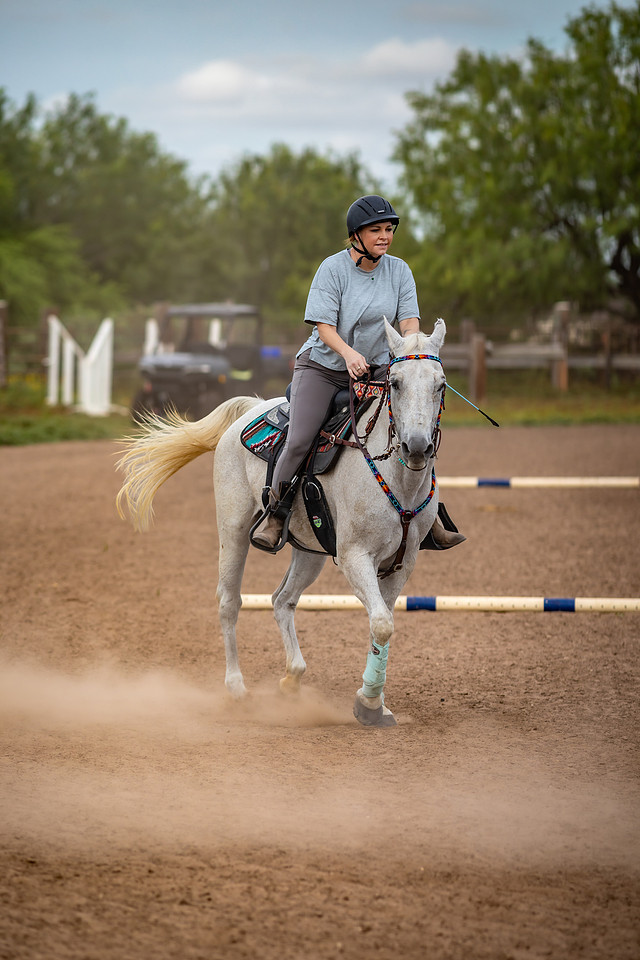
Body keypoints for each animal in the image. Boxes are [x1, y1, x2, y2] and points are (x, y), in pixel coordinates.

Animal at [116, 318, 448, 727]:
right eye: (396, 382)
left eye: (440, 384)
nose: (416, 447)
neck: (397, 480)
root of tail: (252, 409)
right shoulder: (355, 557)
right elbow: (383, 623)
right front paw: (368, 703)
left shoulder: (402, 563)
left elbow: (381, 623)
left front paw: (375, 705)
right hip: (233, 532)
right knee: (230, 602)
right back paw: (237, 688)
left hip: (310, 551)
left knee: (281, 600)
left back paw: (292, 679)